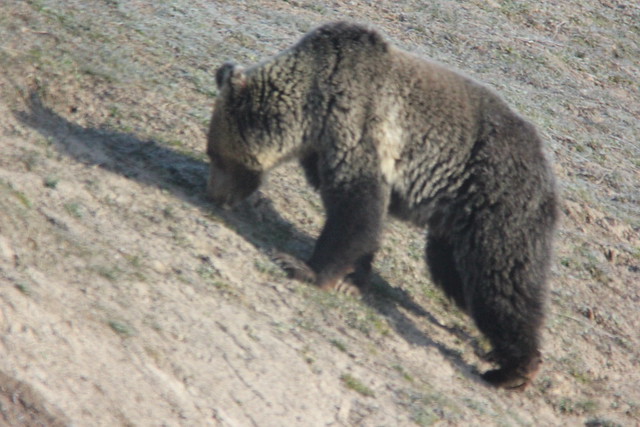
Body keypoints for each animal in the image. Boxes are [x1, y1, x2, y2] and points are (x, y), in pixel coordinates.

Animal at [208, 22, 556, 392]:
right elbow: (361, 224)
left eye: (216, 154)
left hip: (496, 202)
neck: (312, 111)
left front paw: (304, 268)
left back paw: (513, 370)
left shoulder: (357, 124)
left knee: (501, 278)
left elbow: (355, 211)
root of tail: (547, 167)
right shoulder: (326, 150)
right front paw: (352, 279)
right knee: (454, 271)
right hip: (455, 224)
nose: (215, 194)